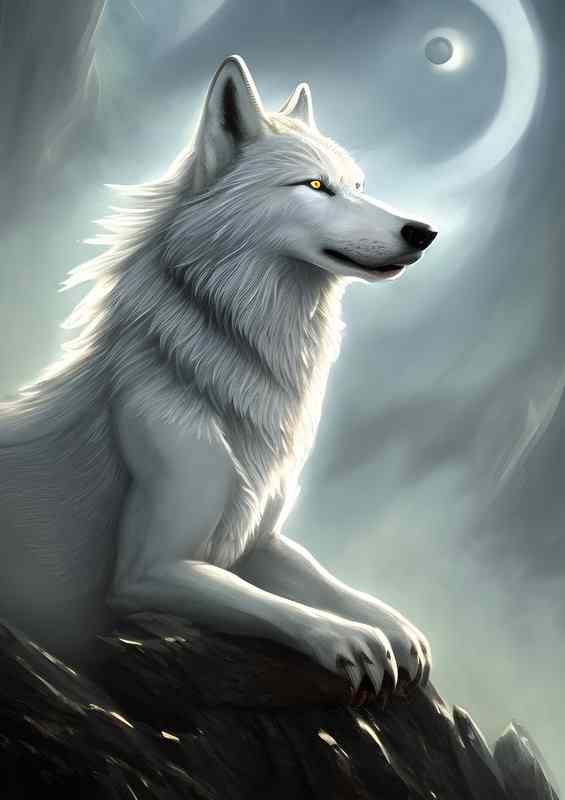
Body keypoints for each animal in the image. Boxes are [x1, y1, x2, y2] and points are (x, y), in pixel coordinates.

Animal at [0, 55, 437, 700]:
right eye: (315, 186)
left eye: (359, 187)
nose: (422, 232)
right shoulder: (150, 570)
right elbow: (270, 606)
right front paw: (348, 638)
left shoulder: (258, 538)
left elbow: (323, 580)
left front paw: (395, 627)